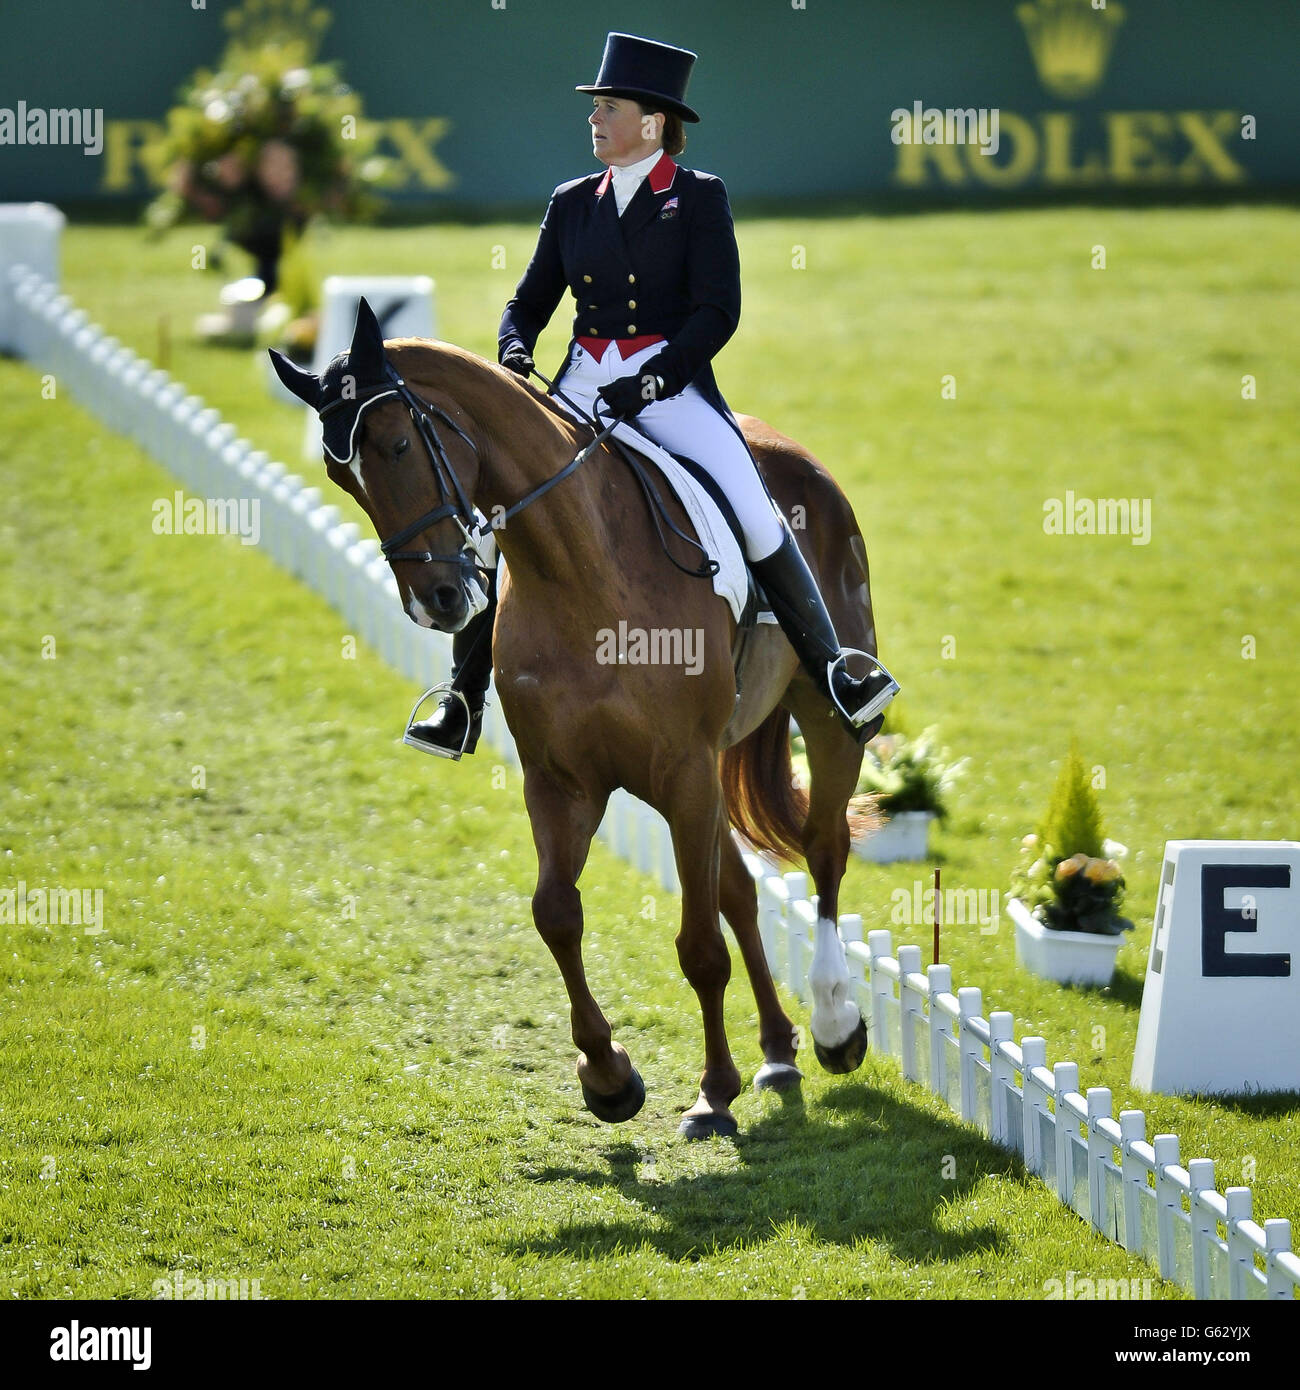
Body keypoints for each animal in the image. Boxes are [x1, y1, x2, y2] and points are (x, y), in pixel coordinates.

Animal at [273, 304, 884, 1139]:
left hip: (818, 723)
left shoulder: (683, 773)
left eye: (398, 444)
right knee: (740, 892)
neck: (576, 568)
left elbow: (699, 946)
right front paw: (609, 1077)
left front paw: (711, 1095)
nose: (438, 600)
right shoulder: (562, 781)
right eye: (342, 477)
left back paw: (833, 1025)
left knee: (823, 851)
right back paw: (776, 1050)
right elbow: (557, 913)